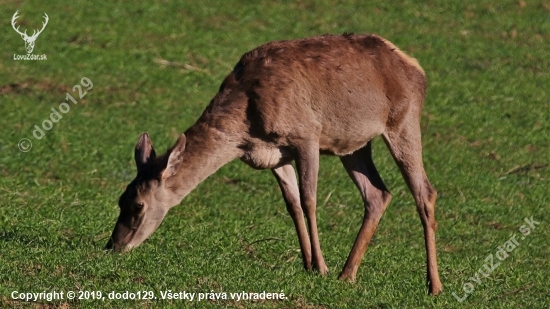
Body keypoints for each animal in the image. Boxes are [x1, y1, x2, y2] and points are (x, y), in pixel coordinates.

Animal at [106, 33, 444, 294]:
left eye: (138, 205)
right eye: (120, 198)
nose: (113, 246)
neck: (246, 124)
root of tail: (417, 68)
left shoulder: (307, 135)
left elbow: (309, 200)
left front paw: (320, 267)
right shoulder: (275, 156)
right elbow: (292, 204)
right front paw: (308, 265)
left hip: (403, 121)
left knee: (424, 192)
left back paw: (434, 286)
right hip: (355, 144)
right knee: (378, 194)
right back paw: (347, 274)